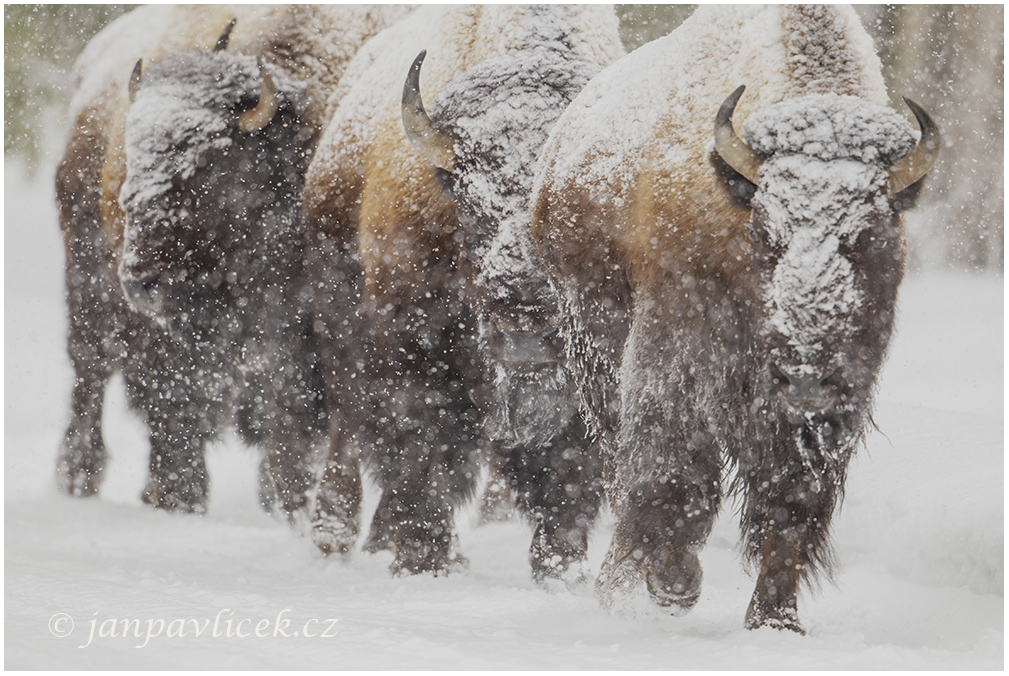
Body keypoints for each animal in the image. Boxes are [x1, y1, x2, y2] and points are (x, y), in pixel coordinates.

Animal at [56, 3, 405, 520]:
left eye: (208, 161)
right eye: (133, 155)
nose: (141, 281)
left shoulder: (297, 339)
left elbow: (288, 425)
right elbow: (177, 414)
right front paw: (180, 497)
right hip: (87, 283)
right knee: (90, 371)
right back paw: (77, 476)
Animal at [302, 2, 625, 581]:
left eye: (567, 220)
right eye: (471, 211)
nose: (526, 339)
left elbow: (567, 472)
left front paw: (558, 569)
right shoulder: (412, 350)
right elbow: (421, 448)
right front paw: (423, 559)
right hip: (338, 325)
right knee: (348, 428)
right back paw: (335, 537)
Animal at [532, 2, 940, 633]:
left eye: (869, 235)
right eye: (766, 234)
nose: (804, 374)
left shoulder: (832, 399)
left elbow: (794, 498)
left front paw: (775, 621)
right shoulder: (674, 347)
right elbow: (669, 467)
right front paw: (670, 585)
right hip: (592, 338)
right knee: (623, 463)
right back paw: (628, 583)